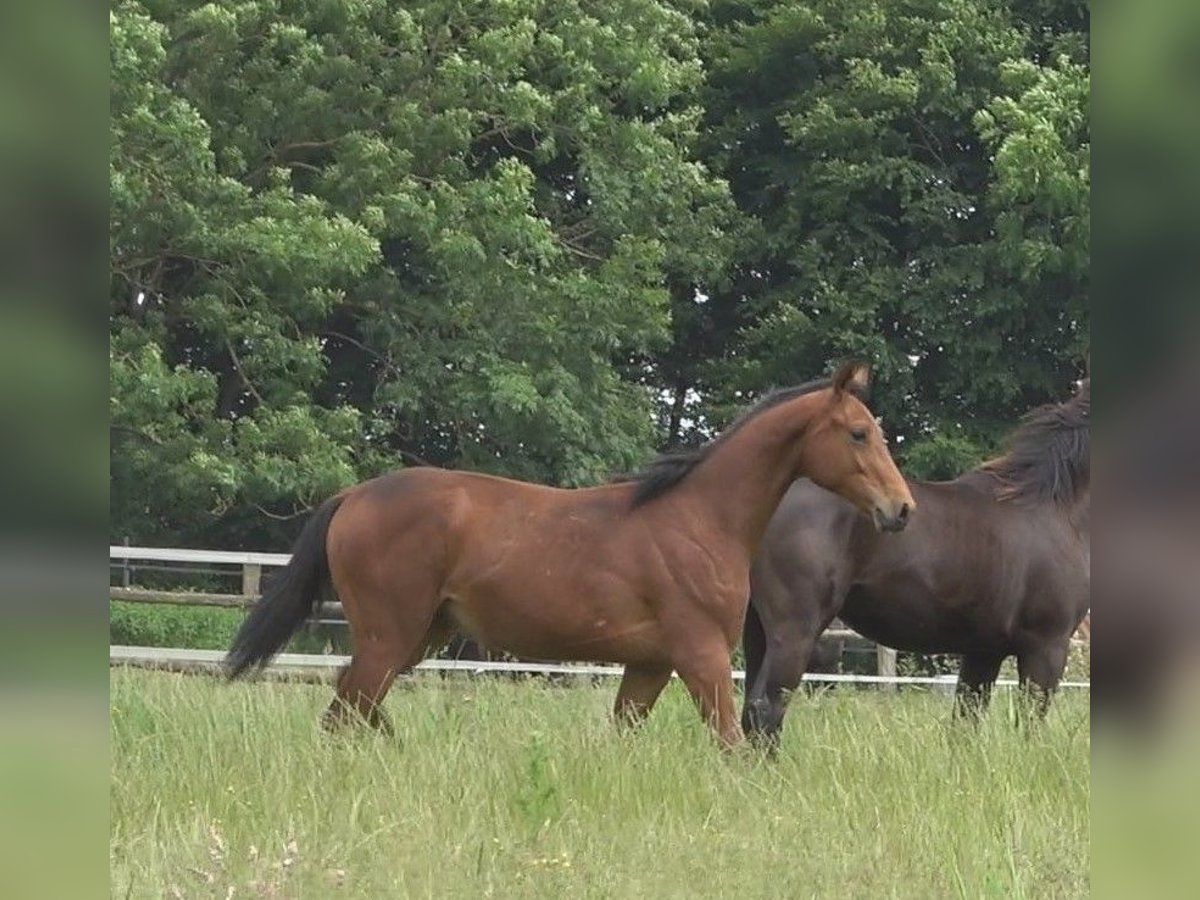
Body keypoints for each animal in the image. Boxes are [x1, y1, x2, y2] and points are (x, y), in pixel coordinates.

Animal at [229, 362, 912, 748]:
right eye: (858, 433)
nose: (900, 509)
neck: (700, 518)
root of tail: (353, 495)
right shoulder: (702, 656)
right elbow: (730, 745)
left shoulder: (650, 665)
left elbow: (622, 738)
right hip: (387, 636)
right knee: (345, 714)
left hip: (418, 637)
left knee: (356, 711)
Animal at [739, 379, 1089, 748]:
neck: (1054, 508)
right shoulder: (1046, 647)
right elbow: (1030, 730)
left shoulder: (984, 651)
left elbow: (964, 725)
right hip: (794, 632)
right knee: (766, 709)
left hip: (758, 630)